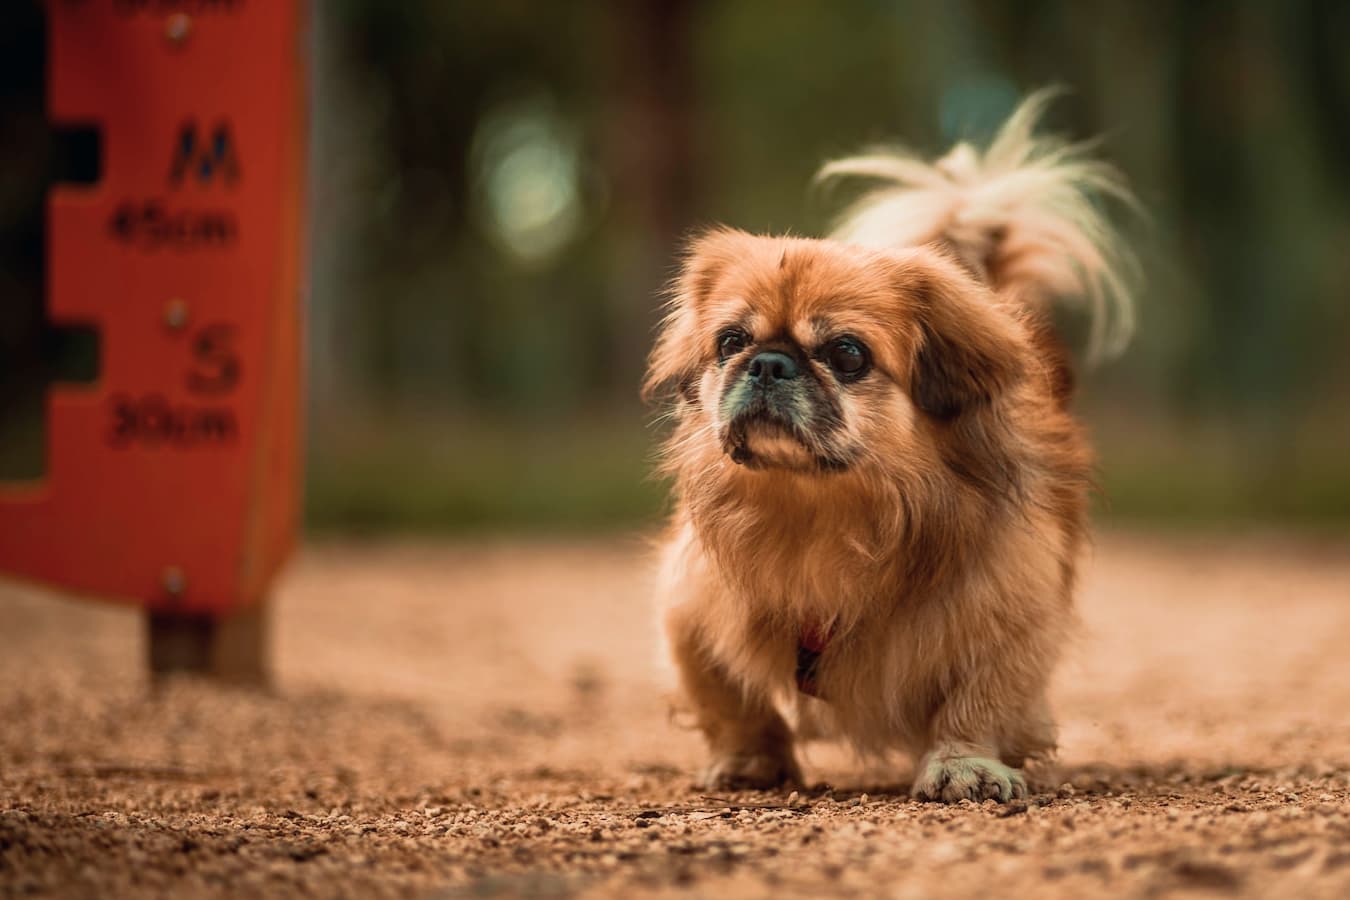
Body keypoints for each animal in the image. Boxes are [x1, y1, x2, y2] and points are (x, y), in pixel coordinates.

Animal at [642, 95, 1139, 804]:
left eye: (846, 354)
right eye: (731, 341)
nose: (768, 363)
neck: (819, 513)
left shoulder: (1012, 605)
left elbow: (980, 698)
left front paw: (964, 765)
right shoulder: (689, 606)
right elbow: (728, 697)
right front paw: (748, 761)